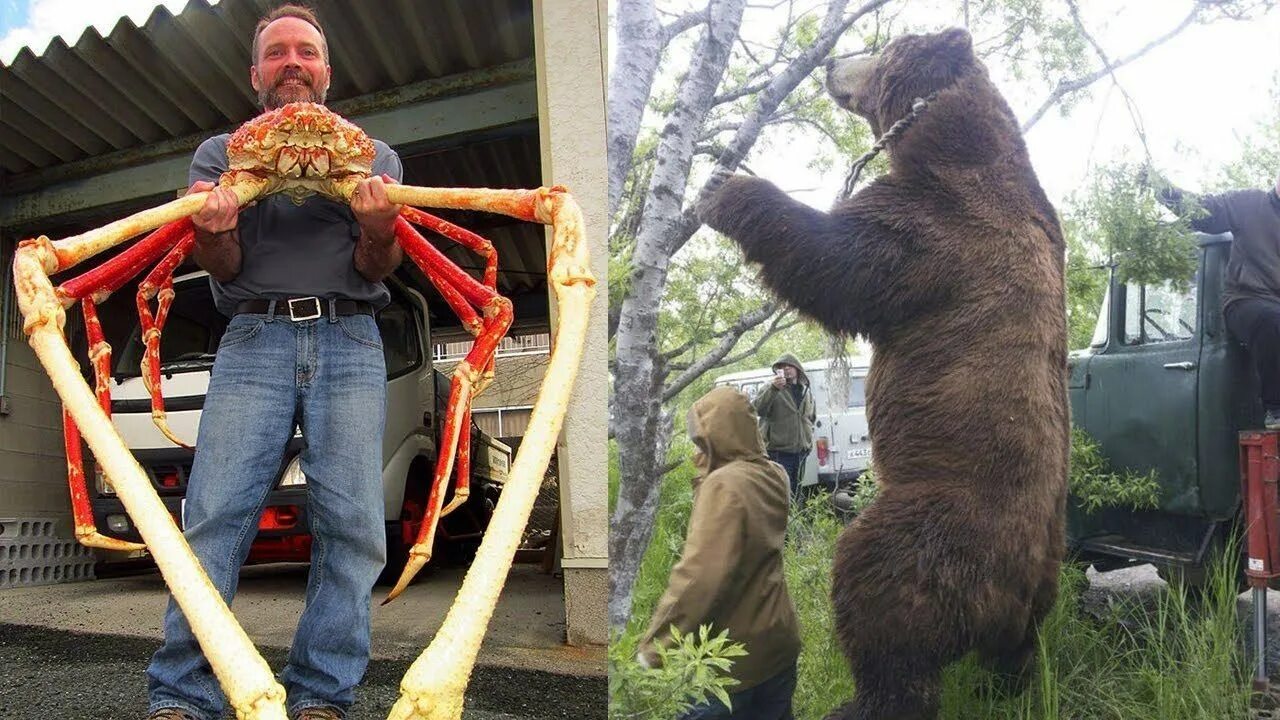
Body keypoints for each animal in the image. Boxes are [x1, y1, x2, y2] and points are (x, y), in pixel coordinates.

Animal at [701, 28, 1070, 717]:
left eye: (881, 47)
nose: (829, 63)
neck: (947, 143)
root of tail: (1009, 596)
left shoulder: (940, 232)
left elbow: (839, 258)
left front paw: (725, 186)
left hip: (935, 525)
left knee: (882, 600)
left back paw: (861, 700)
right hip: (1041, 584)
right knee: (1020, 652)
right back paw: (1012, 685)